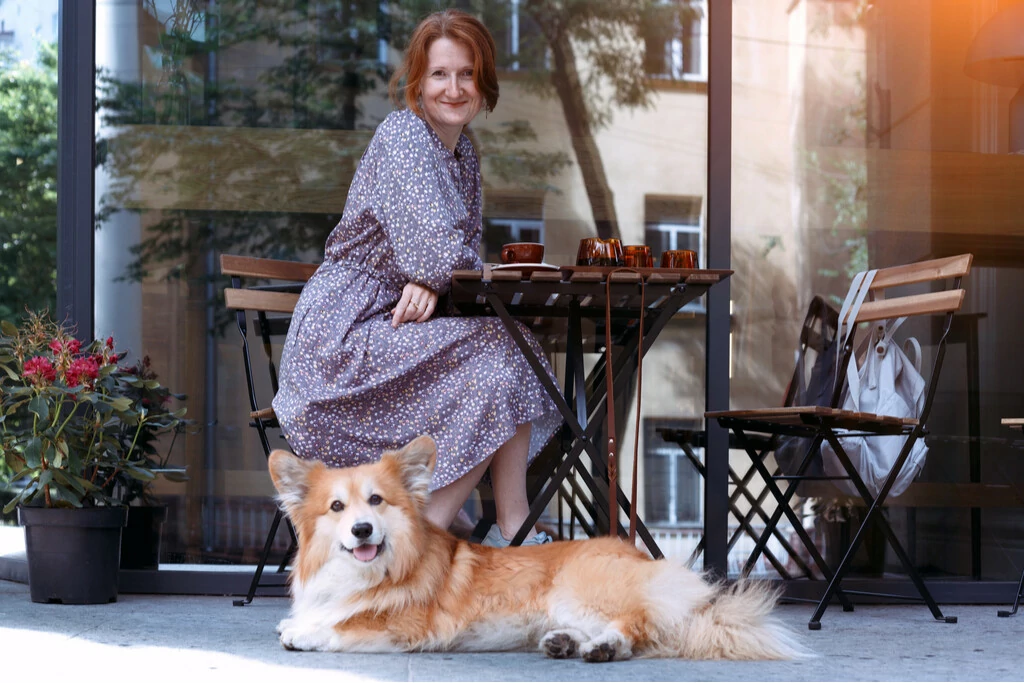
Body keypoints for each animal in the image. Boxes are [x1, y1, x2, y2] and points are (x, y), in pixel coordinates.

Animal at [268, 438, 802, 663]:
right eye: (337, 507)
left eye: (377, 501)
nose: (362, 530)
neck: (369, 572)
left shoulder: (408, 626)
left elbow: (345, 626)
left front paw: (304, 632)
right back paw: (565, 643)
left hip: (576, 590)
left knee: (638, 626)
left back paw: (604, 647)